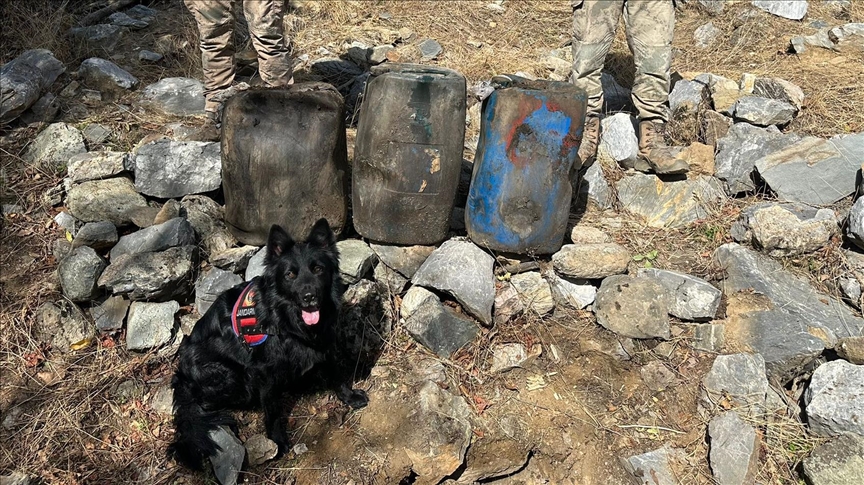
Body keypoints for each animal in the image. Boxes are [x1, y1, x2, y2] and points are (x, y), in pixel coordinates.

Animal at [168, 219, 368, 468]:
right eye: (290, 274)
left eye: (318, 269)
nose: (309, 297)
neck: (287, 320)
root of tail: (182, 375)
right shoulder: (264, 372)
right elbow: (272, 410)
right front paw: (277, 441)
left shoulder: (325, 344)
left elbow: (337, 374)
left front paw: (349, 397)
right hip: (232, 378)